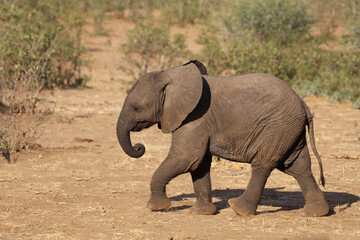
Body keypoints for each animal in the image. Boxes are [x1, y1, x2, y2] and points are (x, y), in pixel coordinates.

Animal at [115, 60, 330, 218]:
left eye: (136, 108)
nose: (139, 147)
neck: (170, 75)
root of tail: (304, 104)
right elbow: (199, 164)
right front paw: (202, 213)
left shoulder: (195, 118)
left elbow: (186, 159)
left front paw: (156, 208)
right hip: (289, 130)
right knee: (298, 167)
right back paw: (315, 213)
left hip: (276, 128)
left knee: (263, 165)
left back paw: (238, 209)